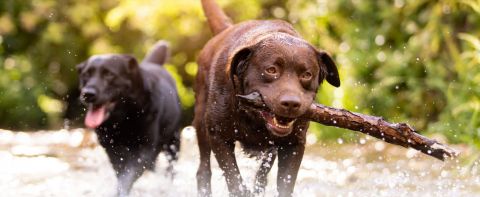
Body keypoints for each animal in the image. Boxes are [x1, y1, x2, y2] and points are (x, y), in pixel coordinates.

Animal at [77, 40, 182, 196]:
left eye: (109, 74)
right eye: (86, 74)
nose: (87, 94)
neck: (123, 119)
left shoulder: (144, 149)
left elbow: (128, 174)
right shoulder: (112, 149)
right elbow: (121, 172)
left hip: (173, 142)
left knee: (171, 167)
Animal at [194, 0, 342, 196]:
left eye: (307, 74)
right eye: (271, 70)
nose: (291, 103)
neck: (253, 117)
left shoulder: (294, 144)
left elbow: (285, 183)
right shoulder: (219, 136)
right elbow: (234, 178)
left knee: (262, 176)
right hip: (201, 124)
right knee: (203, 169)